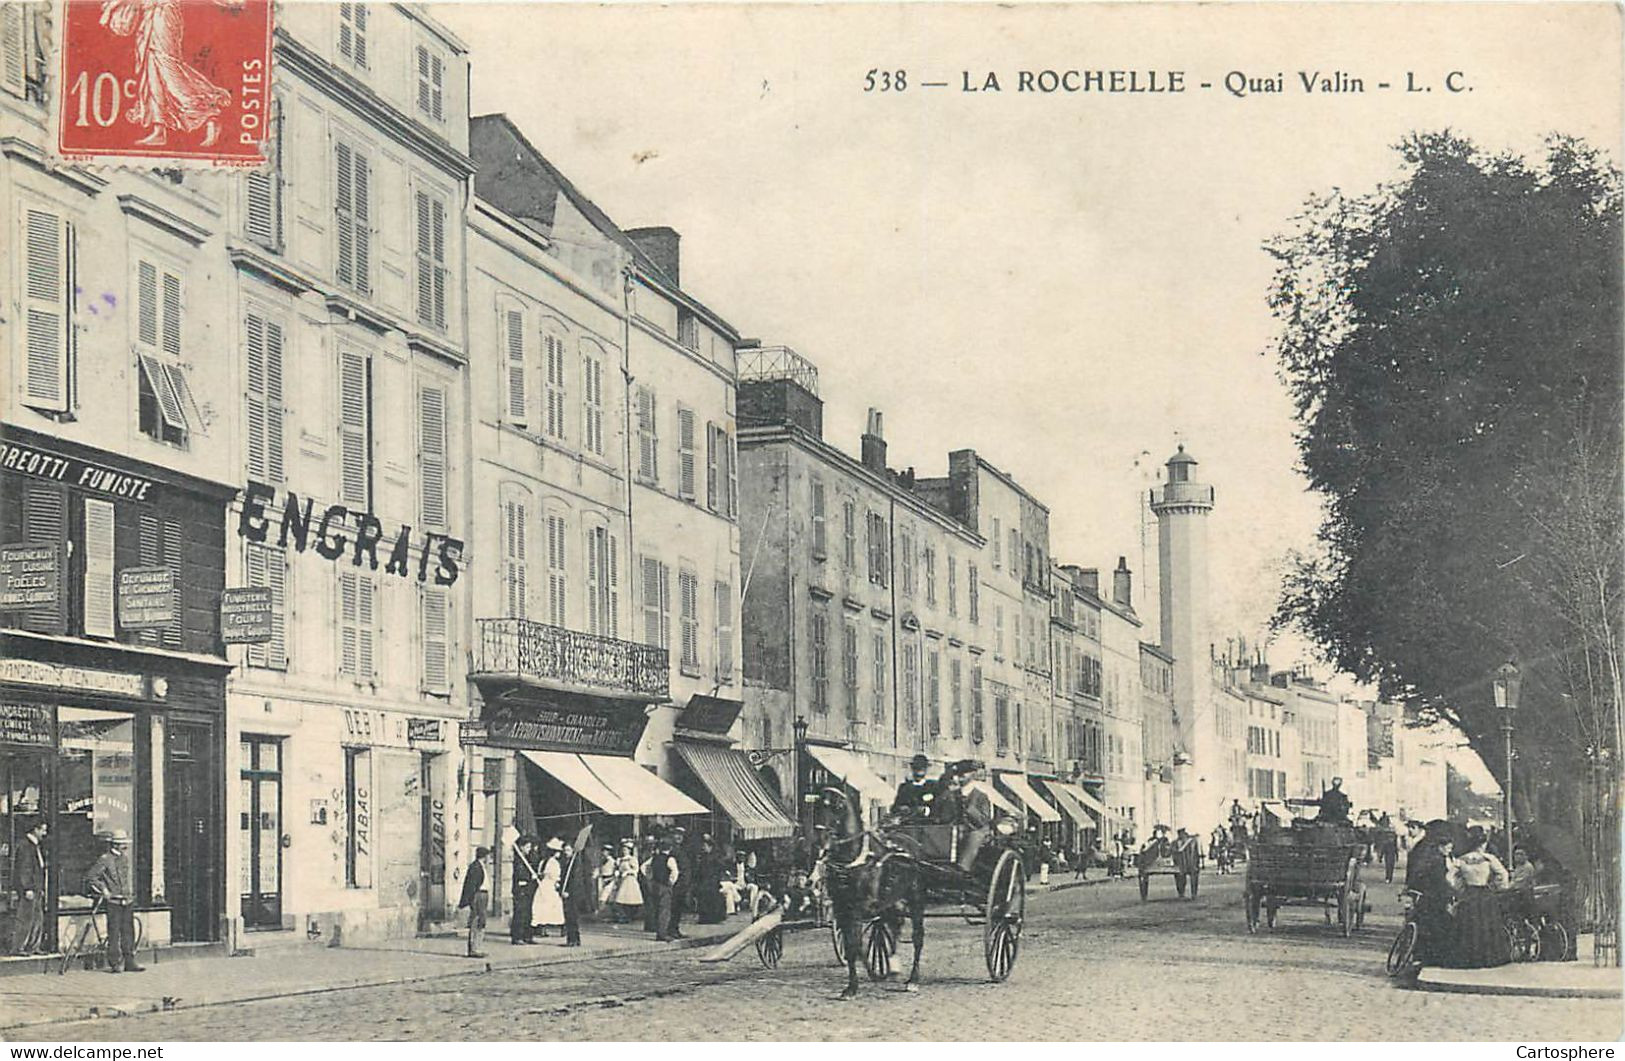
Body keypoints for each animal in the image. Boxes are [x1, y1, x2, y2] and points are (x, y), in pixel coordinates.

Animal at [812, 783, 929, 994]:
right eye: (817, 805)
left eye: (838, 806)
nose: (820, 841)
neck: (854, 860)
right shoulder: (841, 909)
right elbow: (854, 947)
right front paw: (854, 984)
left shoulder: (858, 907)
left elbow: (855, 944)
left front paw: (854, 985)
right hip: (890, 902)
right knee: (894, 927)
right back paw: (893, 966)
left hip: (916, 899)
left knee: (917, 938)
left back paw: (913, 980)